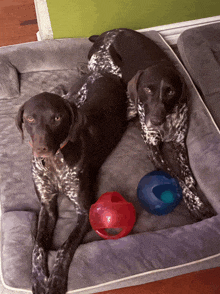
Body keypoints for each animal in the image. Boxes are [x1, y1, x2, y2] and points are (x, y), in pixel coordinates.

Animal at [16, 72, 128, 292]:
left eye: (57, 118)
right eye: (30, 118)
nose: (41, 149)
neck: (55, 163)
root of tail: (106, 73)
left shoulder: (85, 212)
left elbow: (64, 247)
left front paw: (56, 279)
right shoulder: (47, 207)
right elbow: (37, 247)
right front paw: (39, 278)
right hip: (73, 93)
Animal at [127, 63, 215, 220]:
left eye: (171, 92)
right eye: (147, 89)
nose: (155, 121)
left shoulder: (179, 143)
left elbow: (188, 176)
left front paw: (194, 196)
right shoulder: (154, 151)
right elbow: (177, 178)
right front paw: (195, 204)